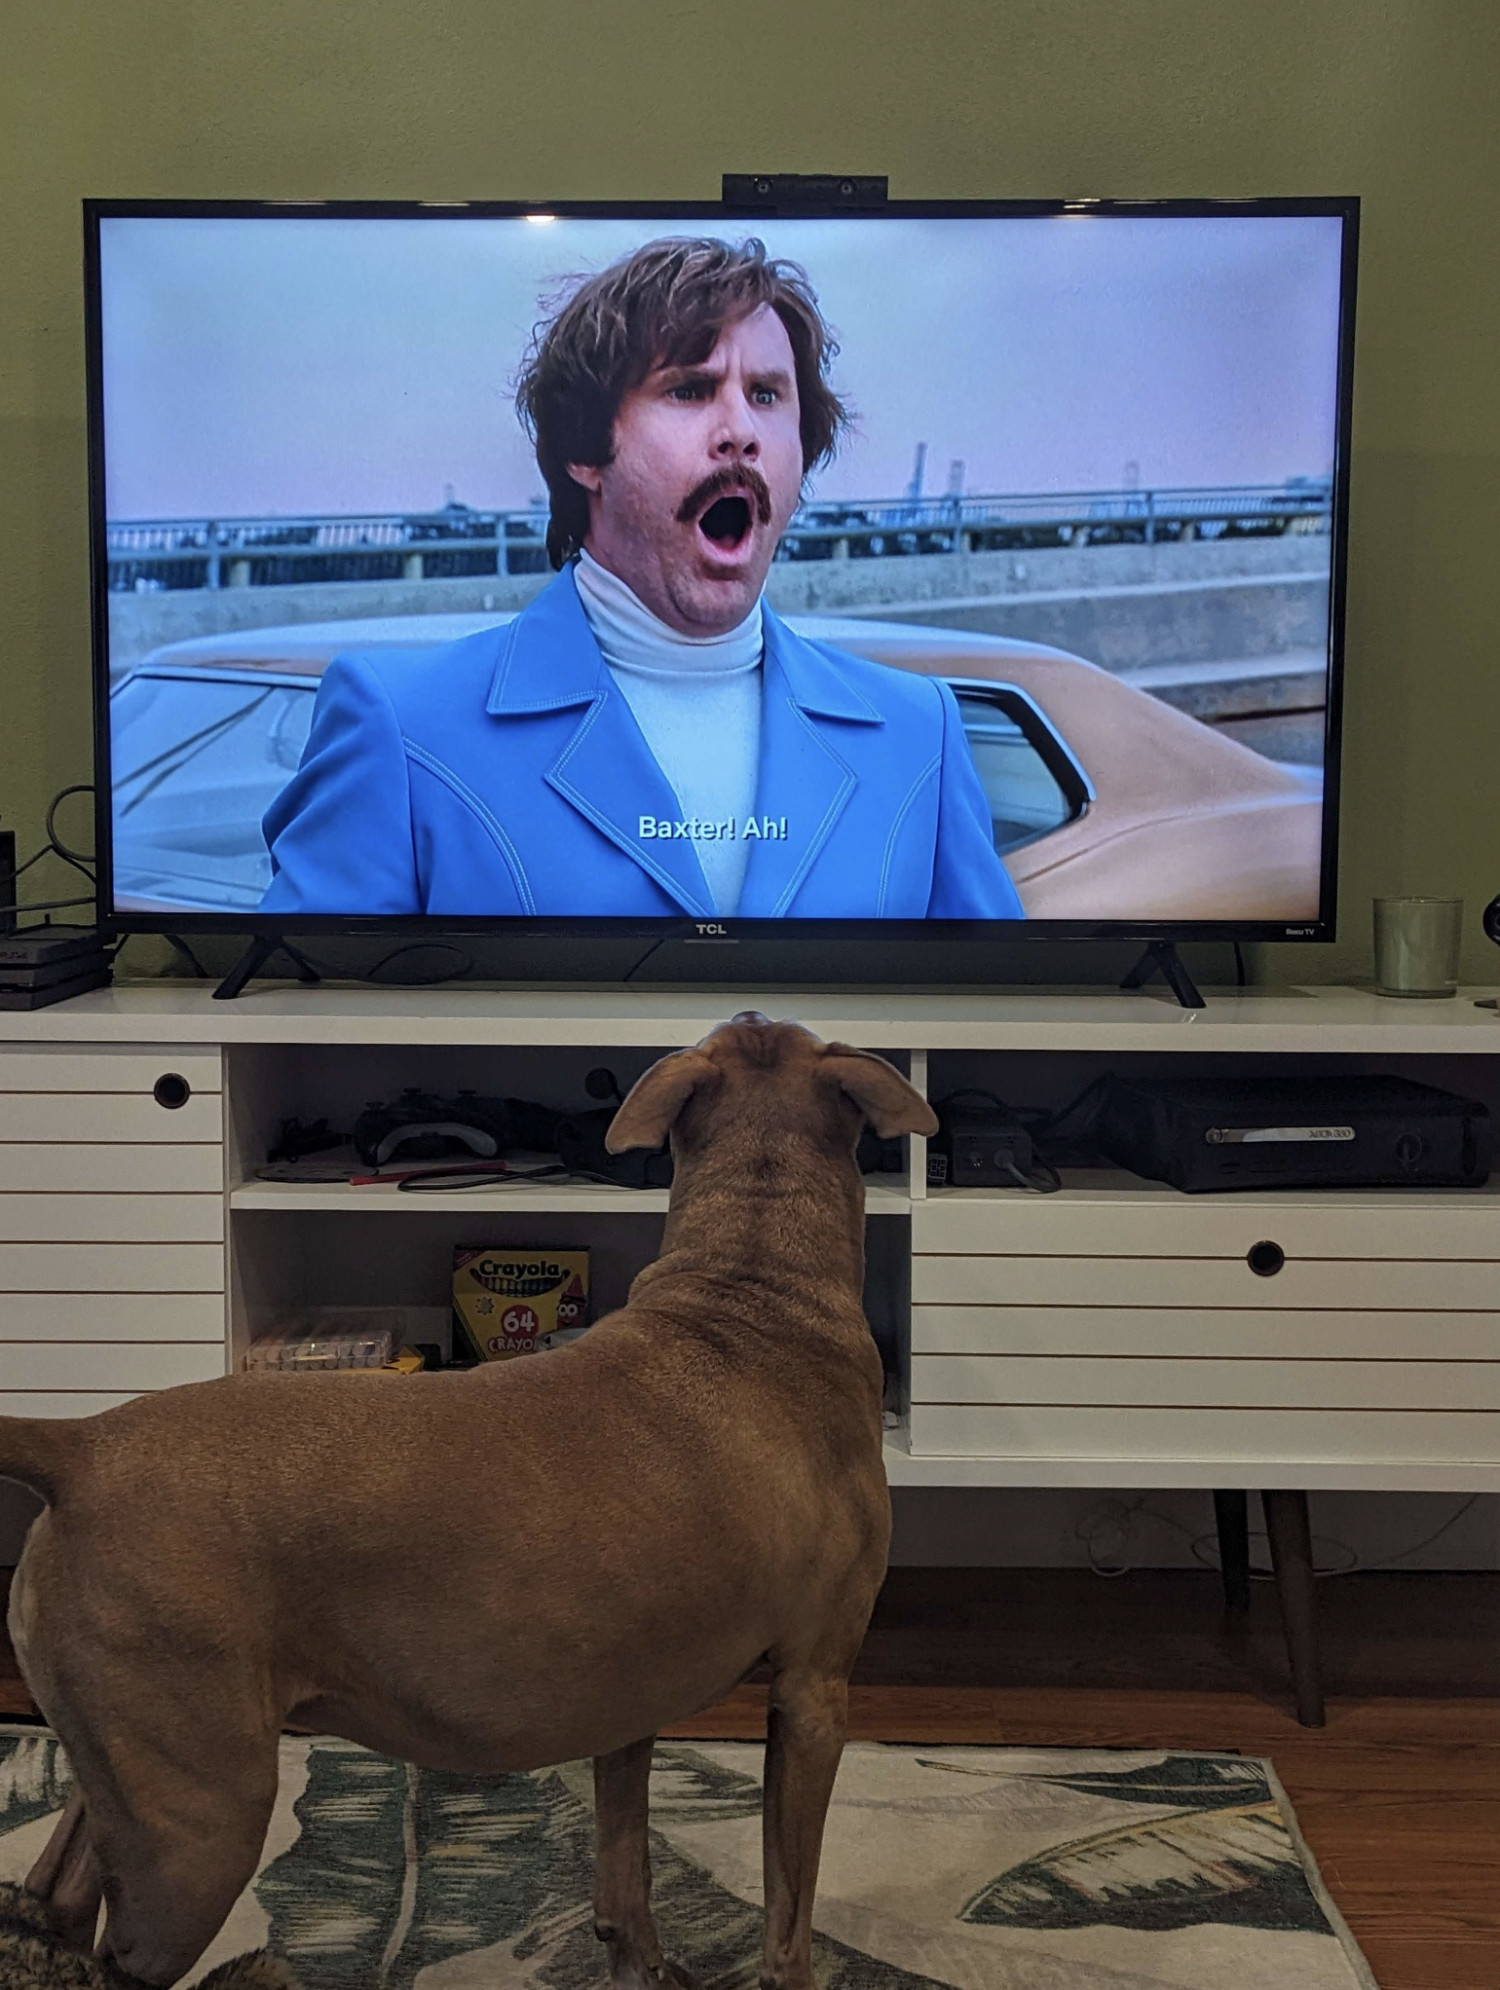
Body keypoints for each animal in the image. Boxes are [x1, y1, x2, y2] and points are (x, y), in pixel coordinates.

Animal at [2, 1018, 935, 1982]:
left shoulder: (628, 1695)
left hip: (127, 1772)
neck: (750, 1295)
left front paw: (641, 1960)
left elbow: (626, 1865)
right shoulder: (814, 1693)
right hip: (202, 1823)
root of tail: (83, 1445)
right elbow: (789, 1909)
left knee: (57, 1888)